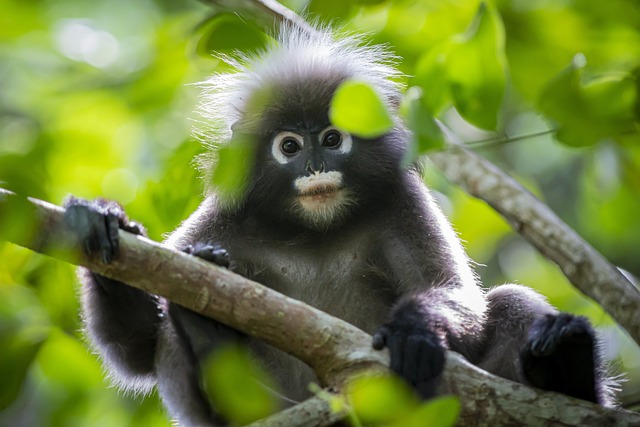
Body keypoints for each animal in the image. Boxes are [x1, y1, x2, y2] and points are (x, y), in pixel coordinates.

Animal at [65, 24, 616, 427]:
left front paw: (415, 327)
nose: (314, 167)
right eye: (289, 146)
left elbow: (455, 293)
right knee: (173, 335)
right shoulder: (220, 220)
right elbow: (138, 349)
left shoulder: (402, 198)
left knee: (510, 300)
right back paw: (207, 337)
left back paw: (565, 363)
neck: (315, 231)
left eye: (332, 139)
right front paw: (104, 220)